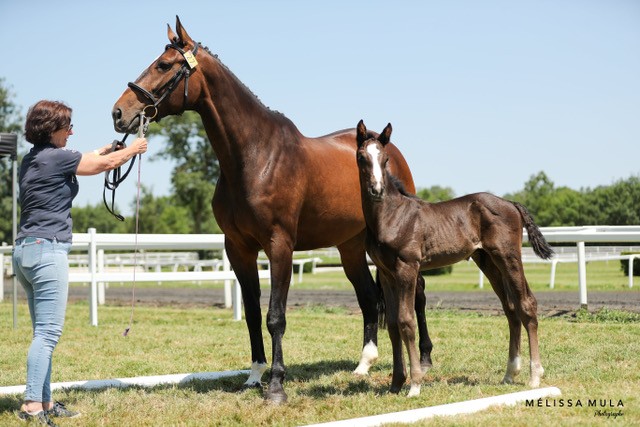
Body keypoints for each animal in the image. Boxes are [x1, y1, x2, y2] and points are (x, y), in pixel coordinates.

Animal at [111, 17, 432, 403]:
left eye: (163, 65)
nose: (119, 113)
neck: (255, 156)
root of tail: (387, 147)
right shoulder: (238, 248)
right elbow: (252, 313)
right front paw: (253, 376)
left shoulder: (280, 245)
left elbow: (275, 315)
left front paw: (277, 385)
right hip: (351, 248)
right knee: (370, 299)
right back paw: (363, 364)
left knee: (417, 293)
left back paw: (425, 359)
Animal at [355, 120, 553, 397]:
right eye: (362, 157)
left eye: (385, 159)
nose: (376, 190)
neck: (391, 216)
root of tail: (511, 203)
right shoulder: (386, 273)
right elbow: (393, 324)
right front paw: (396, 383)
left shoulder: (407, 268)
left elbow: (406, 321)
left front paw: (414, 384)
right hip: (488, 261)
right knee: (510, 308)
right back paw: (509, 373)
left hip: (508, 257)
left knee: (527, 304)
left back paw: (535, 376)